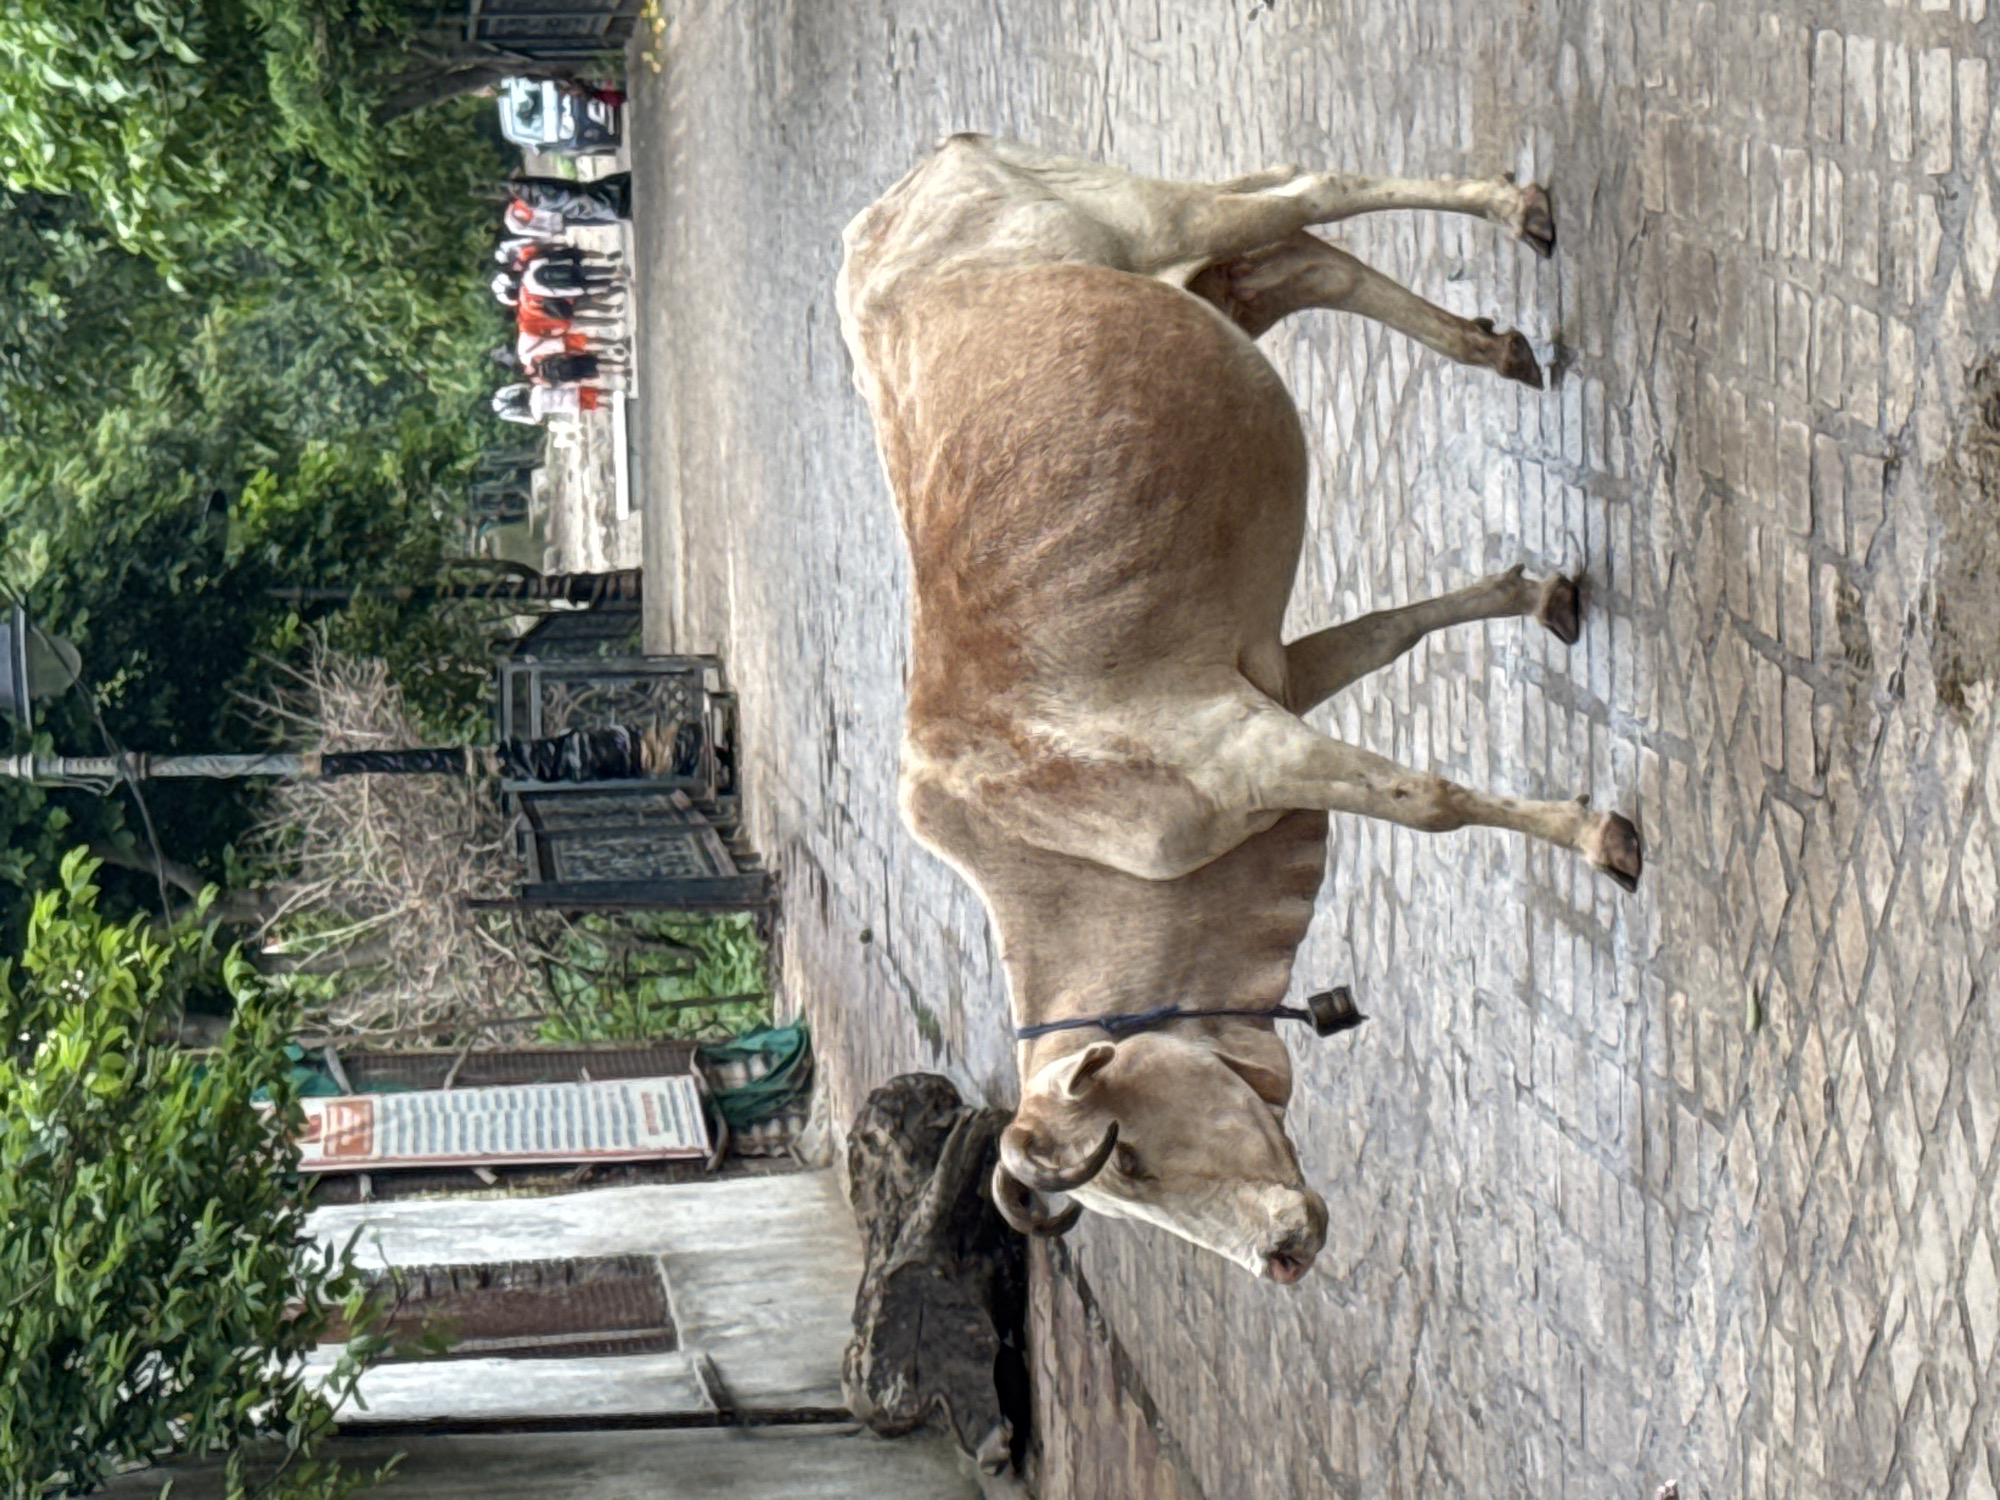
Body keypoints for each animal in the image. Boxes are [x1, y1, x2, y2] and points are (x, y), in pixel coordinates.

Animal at [836, 137, 1641, 1283]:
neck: (1056, 844)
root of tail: (903, 197)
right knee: (1302, 253)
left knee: (1306, 193)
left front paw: (1594, 833)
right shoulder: (1274, 683)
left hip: (1147, 222)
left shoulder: (1246, 750)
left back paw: (1515, 208)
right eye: (1123, 1193)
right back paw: (1490, 347)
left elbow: (1429, 801)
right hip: (1209, 285)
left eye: (1125, 1157)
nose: (1281, 1258)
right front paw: (1535, 595)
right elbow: (1394, 632)